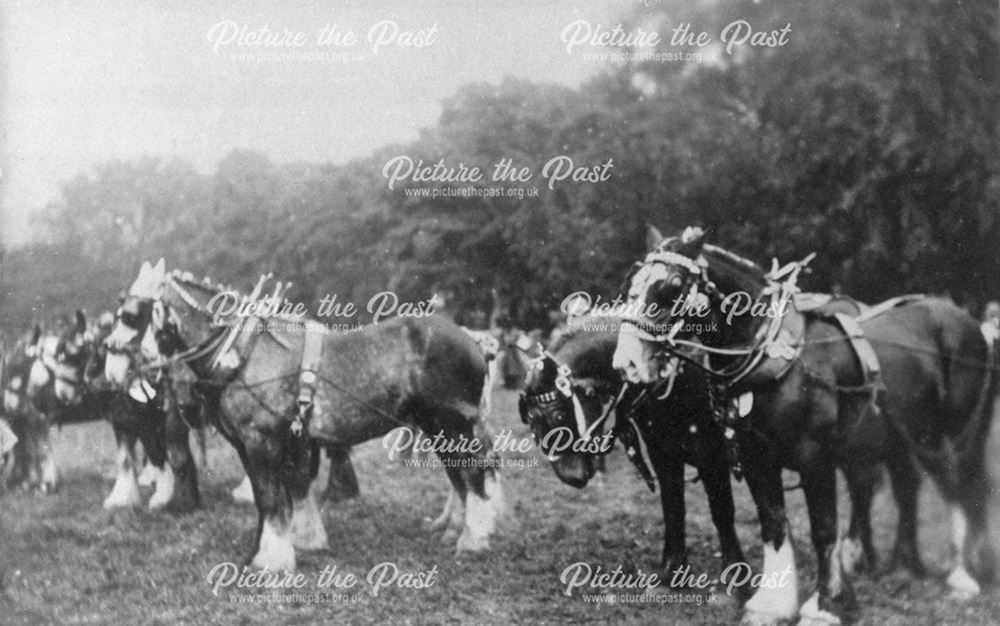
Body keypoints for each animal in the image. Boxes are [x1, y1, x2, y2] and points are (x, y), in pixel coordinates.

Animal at [608, 227, 992, 620]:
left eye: (671, 287)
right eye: (630, 287)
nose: (627, 363)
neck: (773, 355)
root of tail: (967, 321)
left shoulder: (813, 458)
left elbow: (822, 529)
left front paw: (827, 605)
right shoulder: (756, 457)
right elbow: (772, 520)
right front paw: (771, 604)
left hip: (956, 434)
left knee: (963, 488)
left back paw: (962, 574)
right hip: (905, 438)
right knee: (908, 487)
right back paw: (904, 565)